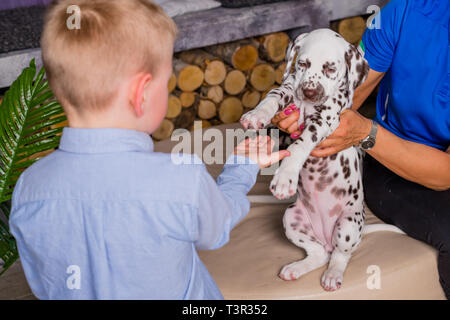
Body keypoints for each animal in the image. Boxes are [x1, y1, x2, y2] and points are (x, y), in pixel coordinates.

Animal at [241, 28, 402, 292]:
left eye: (330, 69)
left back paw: (333, 275)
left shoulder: (324, 120)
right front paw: (256, 114)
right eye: (303, 64)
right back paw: (297, 268)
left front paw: (285, 177)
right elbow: (273, 96)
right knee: (319, 254)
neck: (307, 104)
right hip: (292, 218)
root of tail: (327, 238)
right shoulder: (289, 86)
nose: (308, 92)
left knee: (339, 255)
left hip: (348, 224)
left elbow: (300, 144)